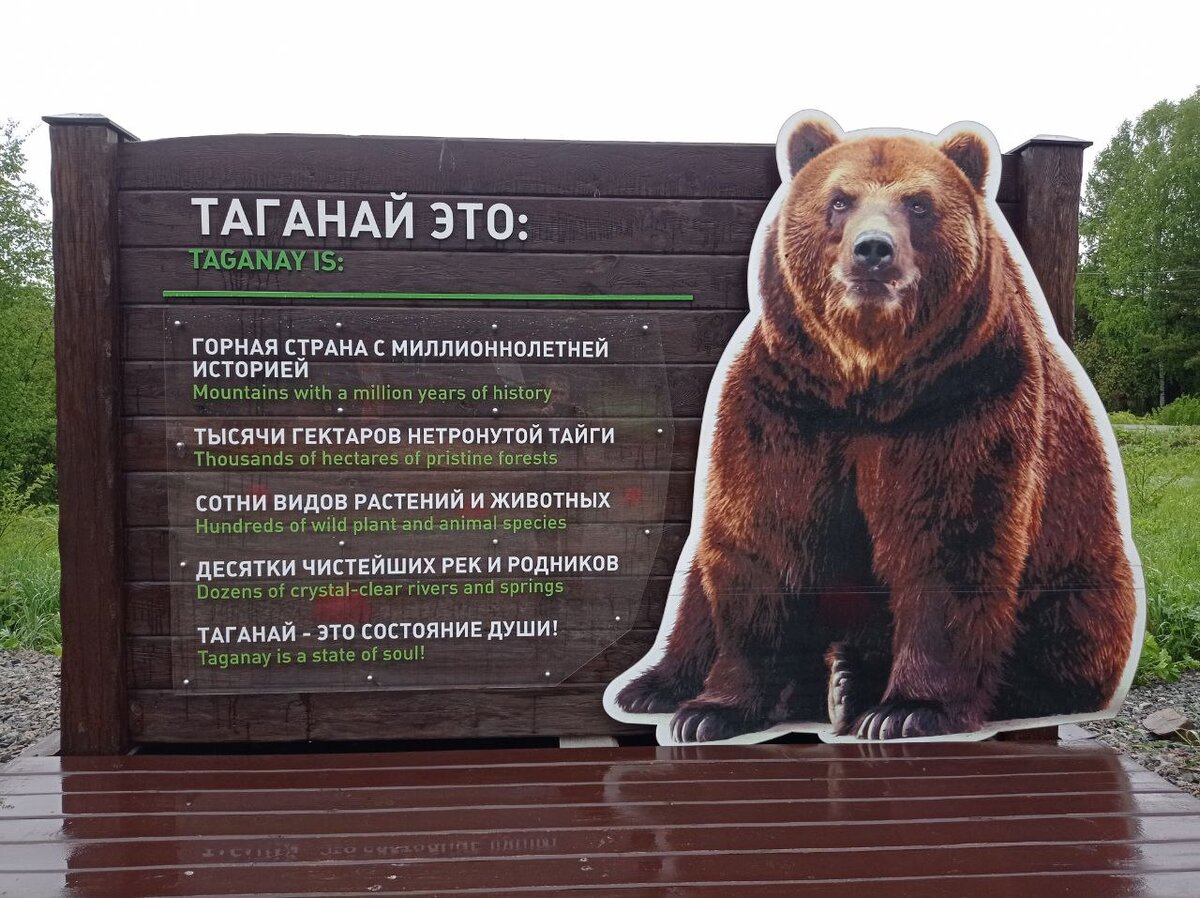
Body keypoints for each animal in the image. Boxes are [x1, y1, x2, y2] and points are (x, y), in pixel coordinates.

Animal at [605, 111, 1143, 743]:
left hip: (1078, 573)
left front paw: (907, 708)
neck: (867, 382)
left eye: (919, 204)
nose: (873, 251)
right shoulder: (785, 406)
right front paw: (712, 710)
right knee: (697, 587)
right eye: (840, 200)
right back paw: (659, 685)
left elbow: (949, 539)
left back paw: (855, 684)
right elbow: (764, 534)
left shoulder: (964, 401)